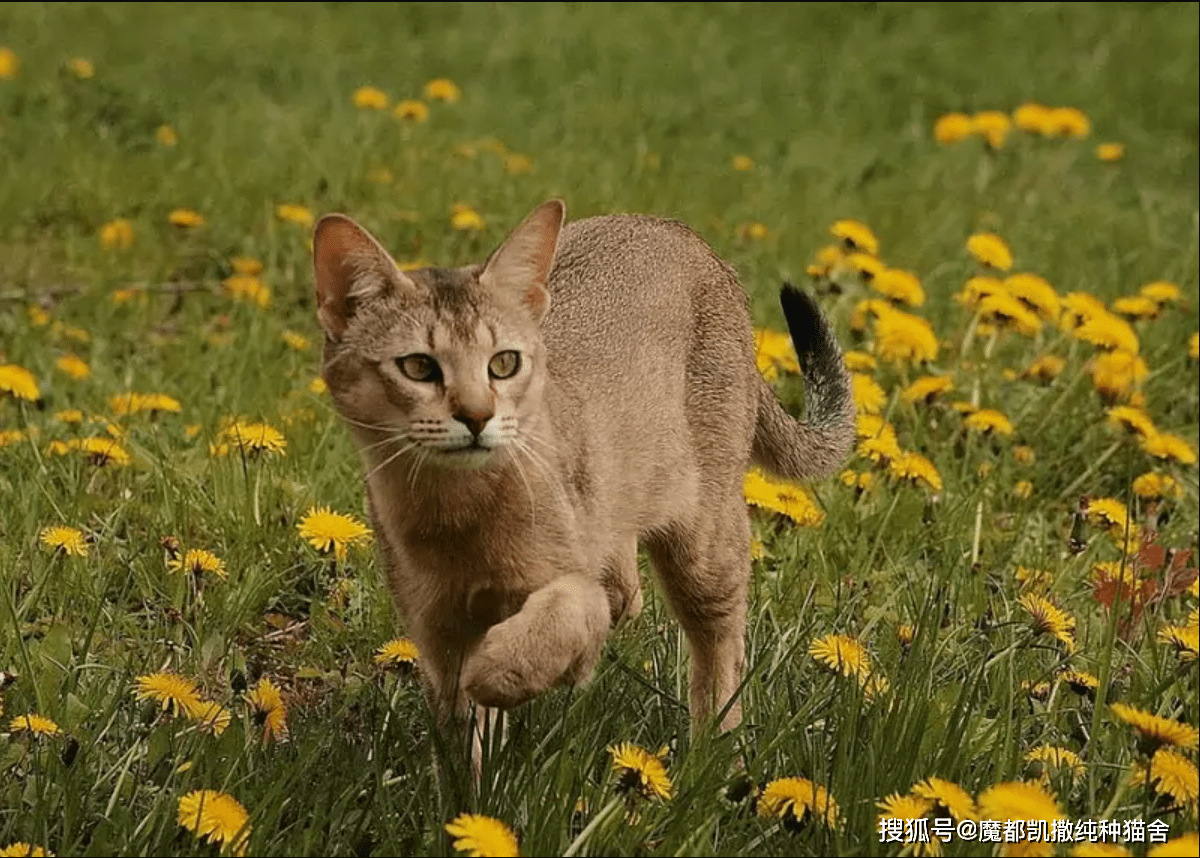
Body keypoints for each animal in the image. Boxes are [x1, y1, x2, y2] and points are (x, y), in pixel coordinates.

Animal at [309, 205, 854, 763]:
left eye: (503, 363)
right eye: (418, 366)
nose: (478, 416)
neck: (460, 516)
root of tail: (674, 228)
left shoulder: (567, 591)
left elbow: (561, 618)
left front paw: (498, 670)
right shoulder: (435, 632)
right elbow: (465, 751)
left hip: (706, 541)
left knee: (718, 643)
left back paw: (712, 757)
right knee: (628, 590)